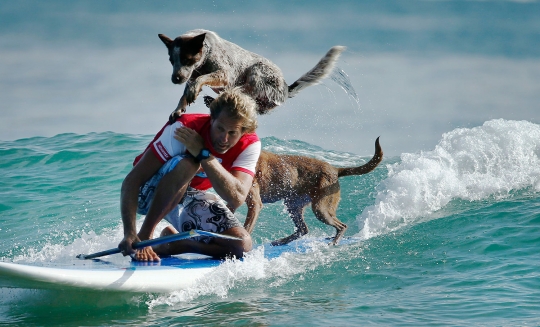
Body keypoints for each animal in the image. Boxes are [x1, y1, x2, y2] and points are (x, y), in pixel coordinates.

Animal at [243, 136, 382, 246]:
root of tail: (335, 170)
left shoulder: (254, 203)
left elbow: (246, 229)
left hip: (320, 208)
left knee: (341, 226)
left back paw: (334, 241)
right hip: (293, 205)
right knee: (303, 229)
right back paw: (281, 241)